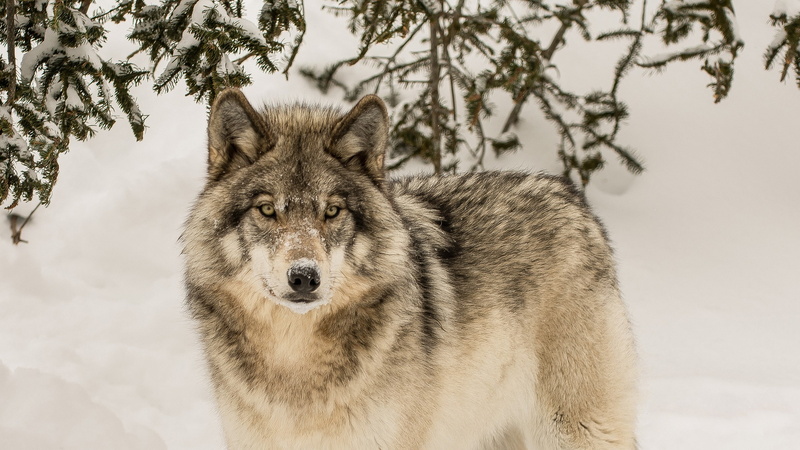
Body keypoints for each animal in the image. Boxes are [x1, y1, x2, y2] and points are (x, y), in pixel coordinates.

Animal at [182, 89, 638, 449]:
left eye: (332, 211)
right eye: (267, 210)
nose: (304, 277)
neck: (294, 363)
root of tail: (571, 197)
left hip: (576, 430)